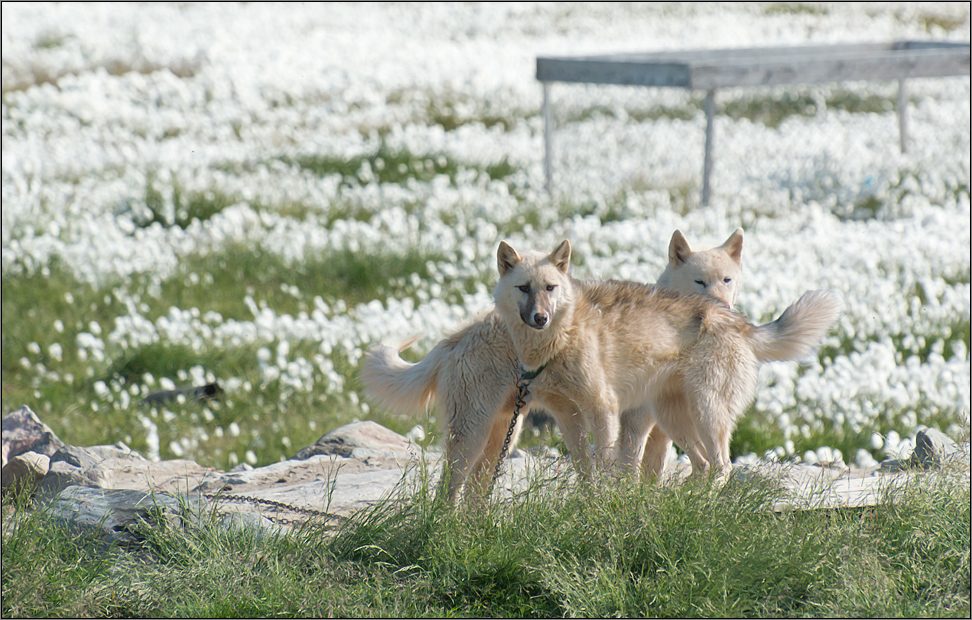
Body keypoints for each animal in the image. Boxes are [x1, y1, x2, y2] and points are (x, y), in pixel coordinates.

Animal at [362, 230, 744, 502]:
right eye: (699, 281)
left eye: (727, 280)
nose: (722, 308)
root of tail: (455, 338)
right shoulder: (628, 422)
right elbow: (623, 468)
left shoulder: (652, 428)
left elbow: (647, 473)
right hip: (472, 432)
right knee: (451, 488)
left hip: (502, 433)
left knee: (475, 492)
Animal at [498, 240, 840, 482]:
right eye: (524, 288)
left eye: (550, 288)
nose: (540, 318)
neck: (562, 335)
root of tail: (737, 320)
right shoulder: (567, 414)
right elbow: (584, 471)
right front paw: (586, 505)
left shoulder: (603, 409)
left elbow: (608, 468)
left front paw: (604, 506)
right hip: (673, 419)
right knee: (703, 465)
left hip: (706, 413)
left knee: (722, 466)